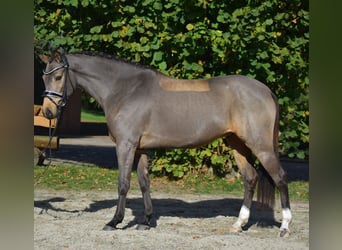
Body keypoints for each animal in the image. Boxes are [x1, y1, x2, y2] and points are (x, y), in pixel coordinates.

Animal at [39, 50, 292, 236]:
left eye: (58, 77)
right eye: (44, 76)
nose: (48, 112)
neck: (125, 89)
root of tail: (266, 90)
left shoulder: (126, 146)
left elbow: (123, 184)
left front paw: (114, 221)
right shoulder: (142, 148)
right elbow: (144, 183)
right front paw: (146, 221)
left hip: (261, 146)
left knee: (280, 178)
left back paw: (285, 227)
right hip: (237, 143)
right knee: (250, 178)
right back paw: (239, 224)